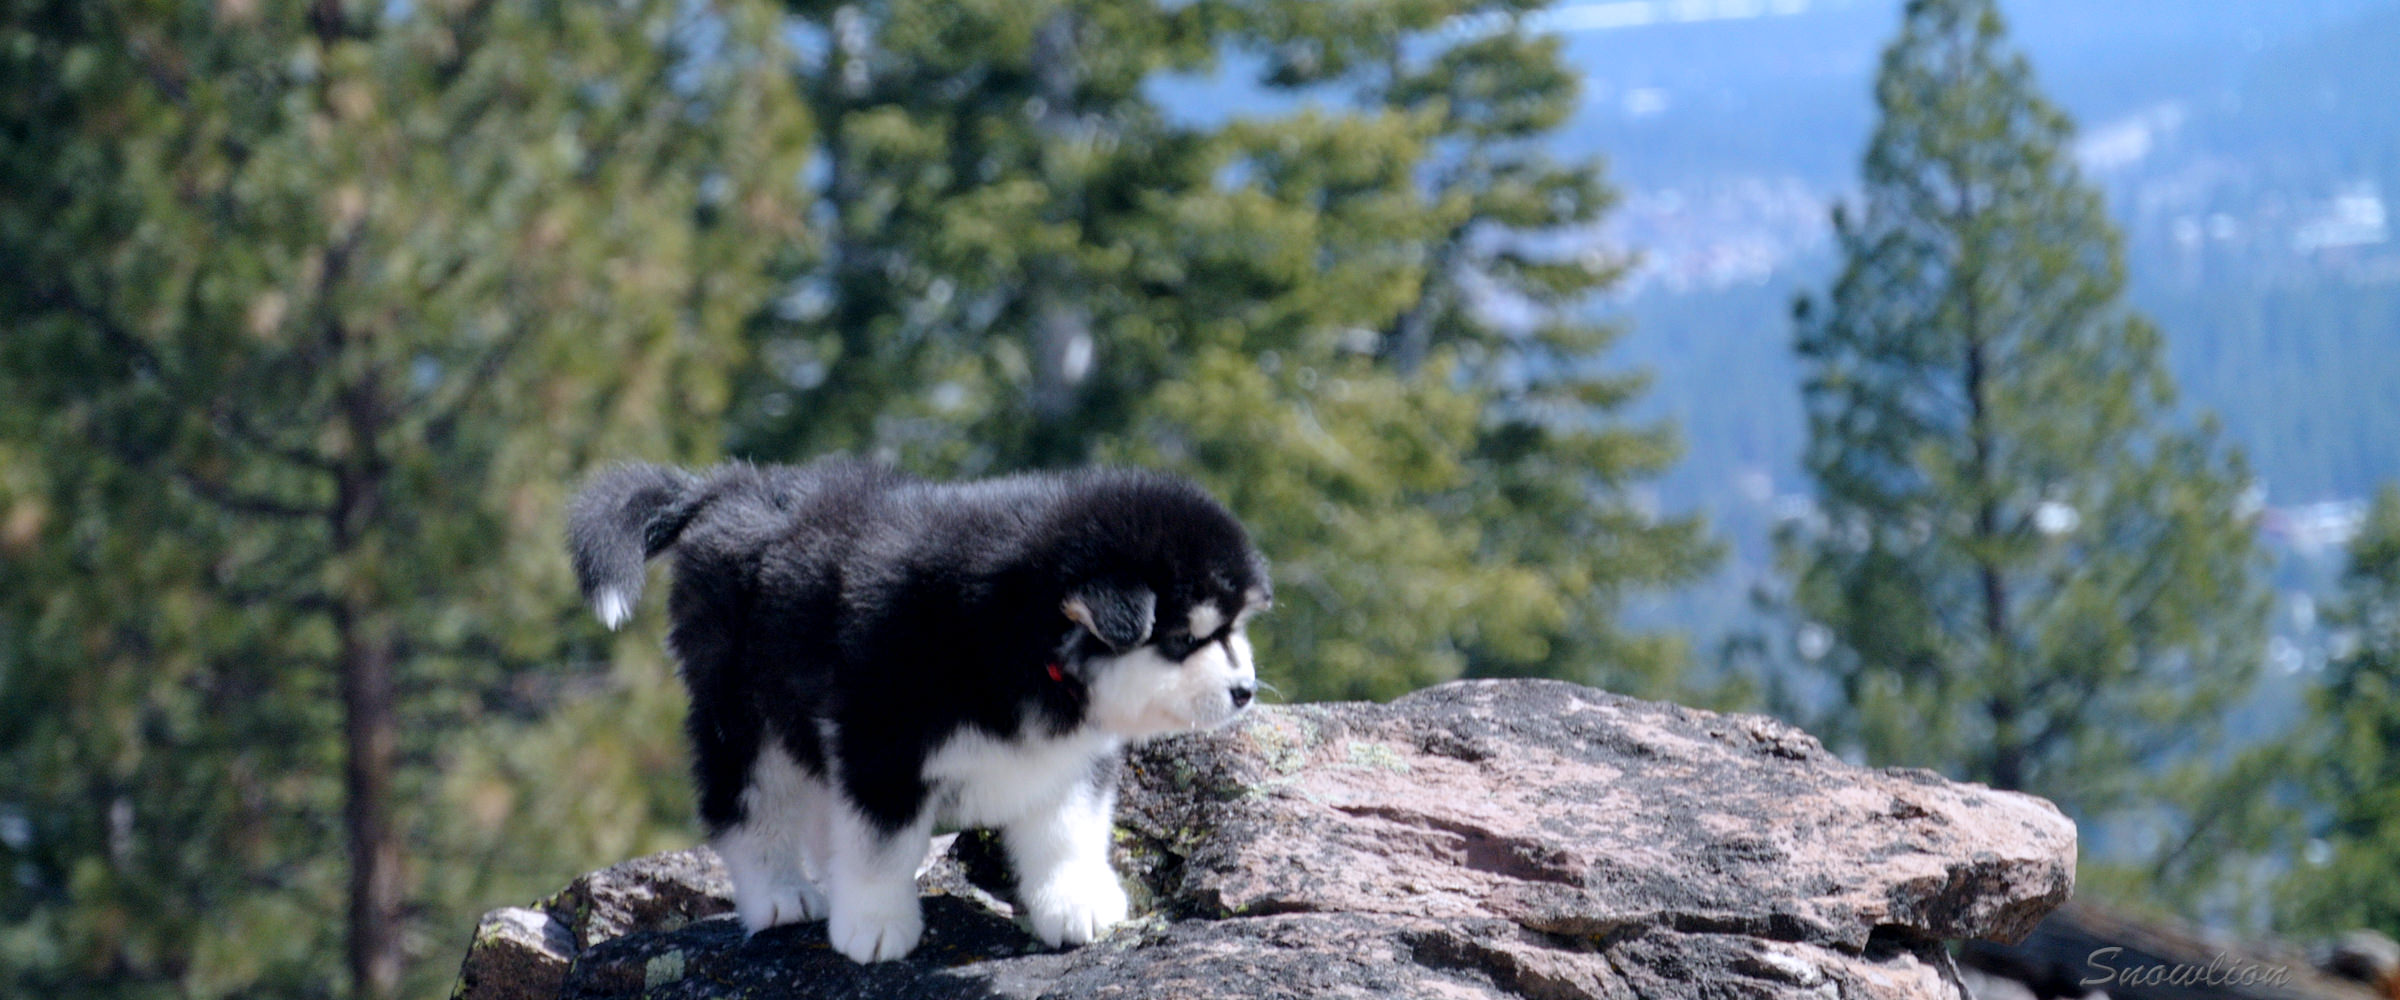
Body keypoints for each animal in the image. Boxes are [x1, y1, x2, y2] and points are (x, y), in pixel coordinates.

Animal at [564, 458, 1276, 959]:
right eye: (1183, 639)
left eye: (1234, 626)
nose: (1244, 690)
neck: (1019, 632)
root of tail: (732, 484)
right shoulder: (883, 742)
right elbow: (882, 845)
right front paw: (877, 925)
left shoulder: (1072, 756)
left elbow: (1069, 827)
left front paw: (1075, 902)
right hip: (740, 711)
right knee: (748, 808)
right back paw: (782, 895)